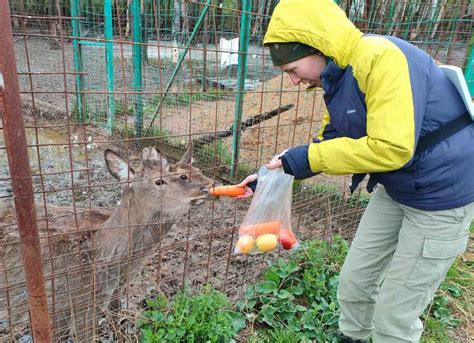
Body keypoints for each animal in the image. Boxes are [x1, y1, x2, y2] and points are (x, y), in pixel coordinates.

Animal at [0, 145, 214, 342]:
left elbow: (117, 319)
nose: (209, 185)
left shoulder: (111, 292)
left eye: (198, 170)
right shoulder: (61, 304)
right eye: (160, 180)